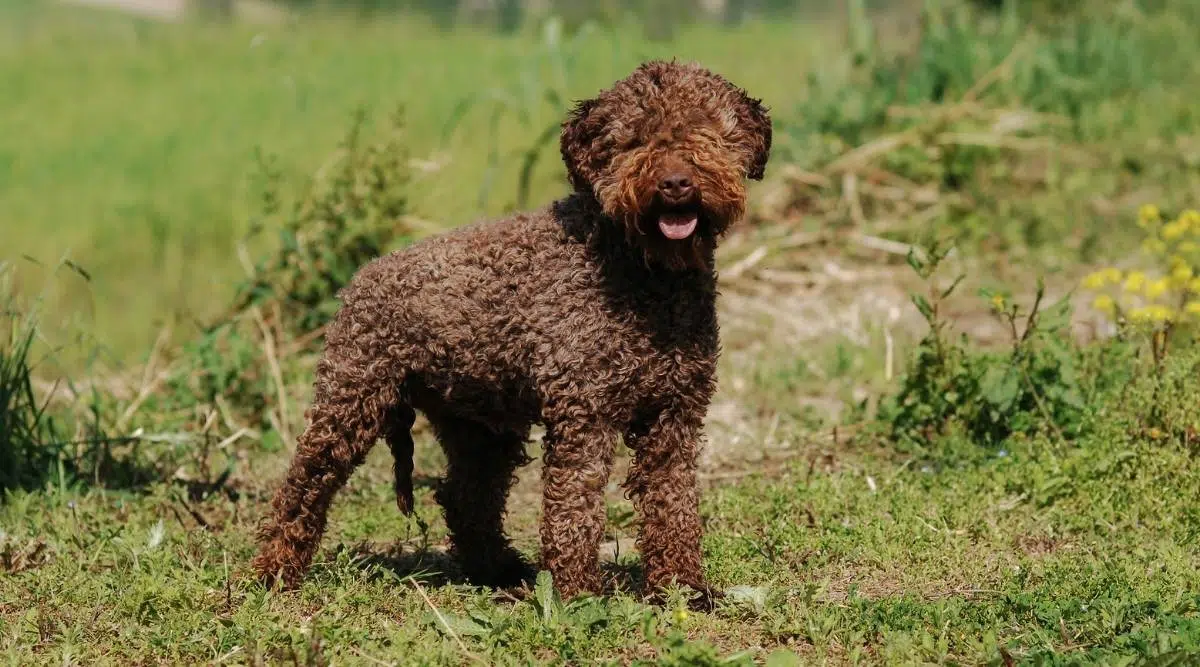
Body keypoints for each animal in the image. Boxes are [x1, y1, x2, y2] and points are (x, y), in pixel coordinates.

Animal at [254, 59, 772, 607]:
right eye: (633, 140)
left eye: (706, 131)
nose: (675, 183)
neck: (642, 273)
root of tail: (360, 277)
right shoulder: (584, 413)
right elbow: (574, 508)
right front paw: (576, 596)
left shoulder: (675, 413)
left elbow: (674, 505)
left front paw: (682, 589)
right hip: (352, 398)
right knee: (303, 484)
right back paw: (274, 572)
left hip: (480, 421)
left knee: (465, 498)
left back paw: (498, 570)